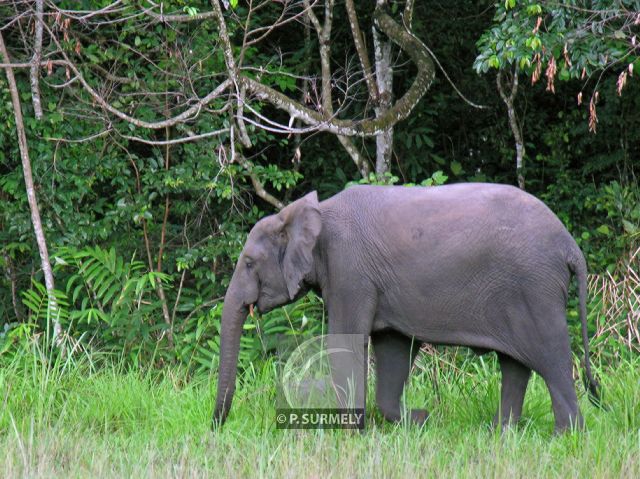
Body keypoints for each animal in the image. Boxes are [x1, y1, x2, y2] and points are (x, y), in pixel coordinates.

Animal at [214, 183, 600, 432]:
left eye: (248, 262)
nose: (216, 427)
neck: (311, 213)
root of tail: (570, 246)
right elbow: (393, 348)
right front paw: (416, 422)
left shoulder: (349, 270)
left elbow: (348, 343)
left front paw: (350, 434)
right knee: (516, 363)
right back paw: (500, 434)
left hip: (534, 288)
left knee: (550, 356)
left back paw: (566, 435)